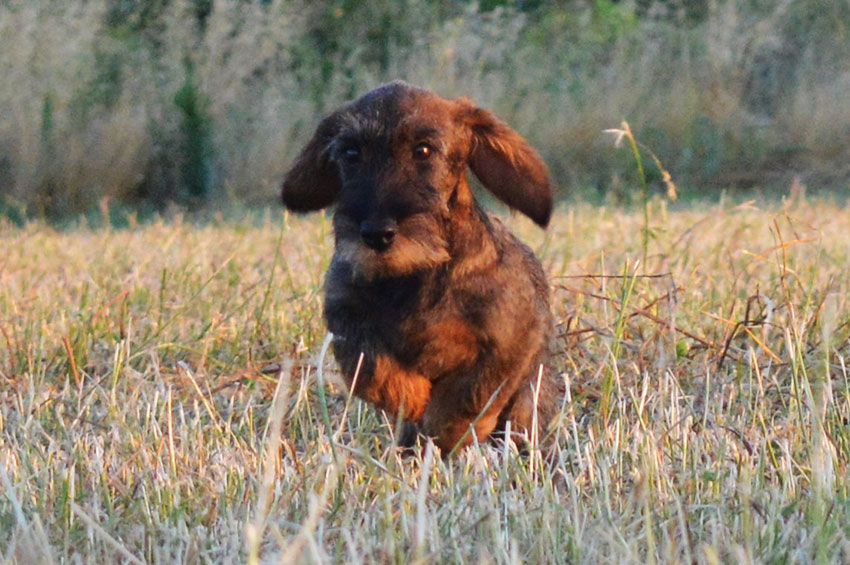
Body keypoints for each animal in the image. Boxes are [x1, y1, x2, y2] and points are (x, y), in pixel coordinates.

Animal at [284, 81, 556, 452]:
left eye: (423, 150)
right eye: (351, 154)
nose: (377, 233)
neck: (411, 274)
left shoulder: (506, 342)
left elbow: (470, 395)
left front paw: (450, 432)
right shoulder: (347, 321)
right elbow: (372, 368)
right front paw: (408, 397)